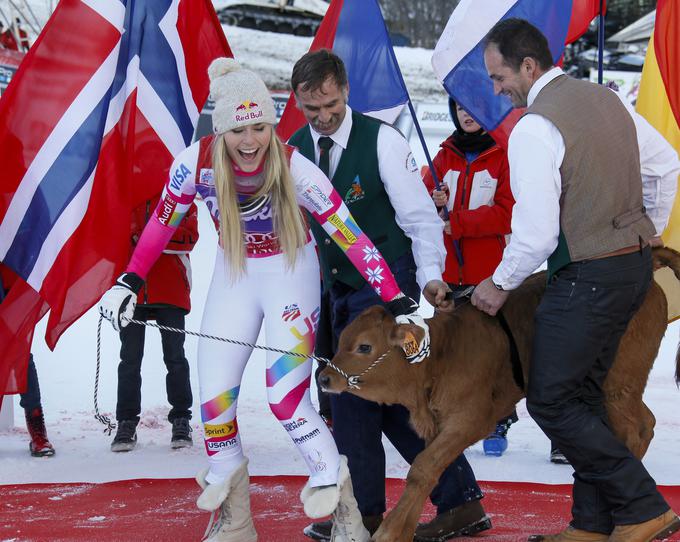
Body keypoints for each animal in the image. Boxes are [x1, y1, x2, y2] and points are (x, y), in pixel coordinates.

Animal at [318, 248, 680, 542]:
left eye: (365, 347)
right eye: (342, 339)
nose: (324, 377)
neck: (441, 356)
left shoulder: (471, 419)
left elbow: (422, 468)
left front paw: (389, 531)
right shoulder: (437, 425)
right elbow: (431, 470)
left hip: (618, 383)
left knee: (638, 428)